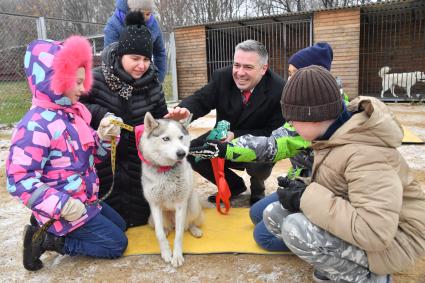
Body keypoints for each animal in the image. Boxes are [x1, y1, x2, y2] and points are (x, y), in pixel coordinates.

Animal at [136, 112, 202, 268]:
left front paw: (177, 256)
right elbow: (159, 234)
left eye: (181, 137)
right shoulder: (155, 205)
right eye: (166, 138)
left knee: (188, 224)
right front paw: (166, 253)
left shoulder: (181, 205)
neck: (165, 170)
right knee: (164, 227)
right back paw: (167, 230)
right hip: (153, 219)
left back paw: (195, 230)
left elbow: (179, 235)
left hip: (192, 206)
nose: (182, 153)